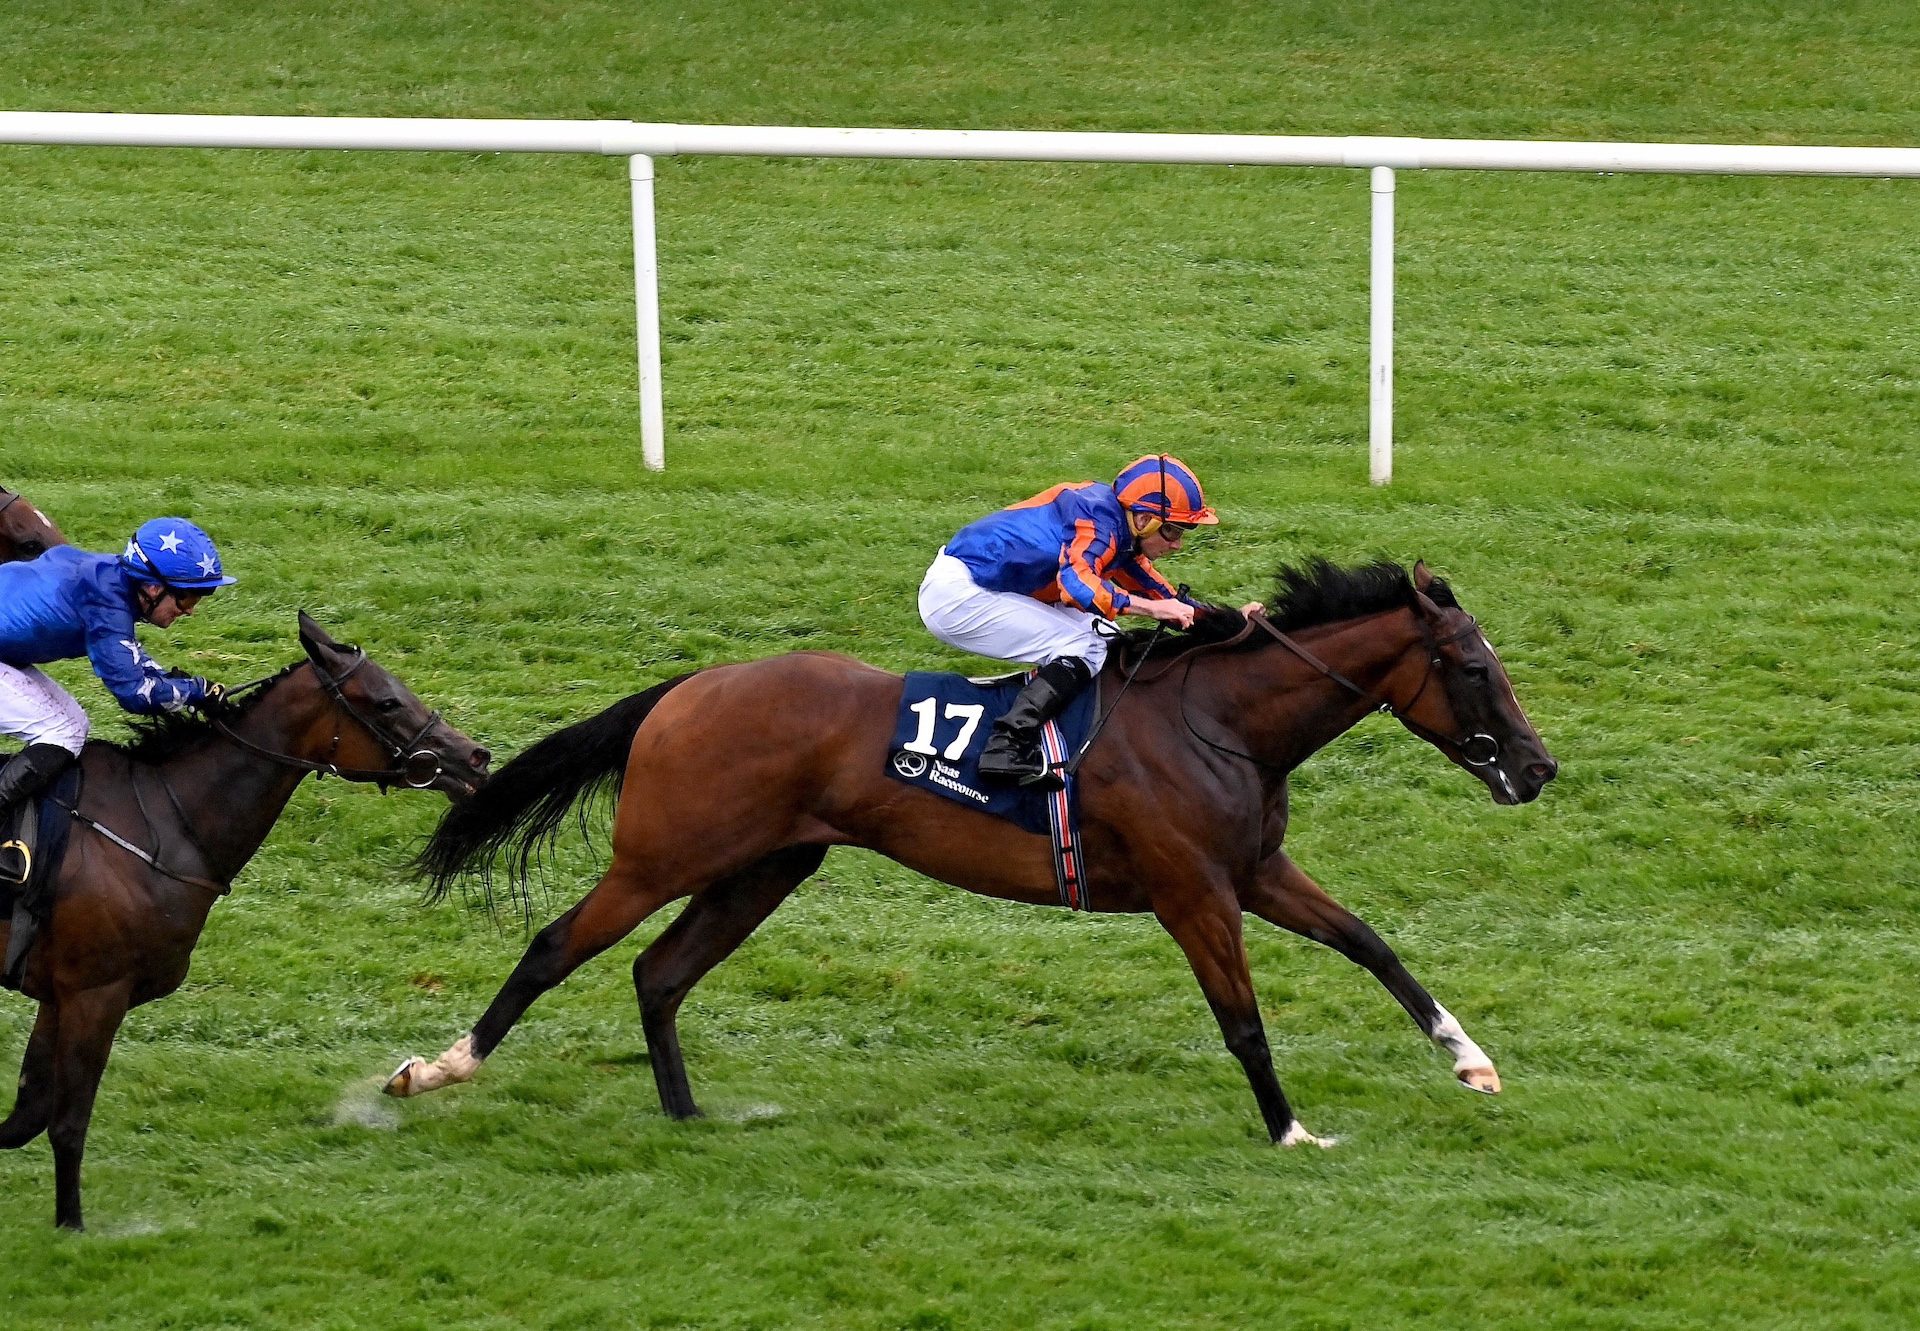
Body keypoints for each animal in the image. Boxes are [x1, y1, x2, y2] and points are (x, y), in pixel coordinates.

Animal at [0, 610, 491, 1221]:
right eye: (386, 701)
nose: (475, 757)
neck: (163, 818)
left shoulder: (59, 995)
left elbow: (25, 1116)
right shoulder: (96, 994)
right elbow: (66, 1124)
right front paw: (71, 1226)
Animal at [393, 556, 1559, 1144]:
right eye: (1471, 667)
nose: (1539, 766)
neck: (1219, 718)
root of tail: (685, 689)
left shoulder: (1255, 871)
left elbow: (1371, 944)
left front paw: (1472, 1059)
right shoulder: (1193, 890)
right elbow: (1243, 1021)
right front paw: (1289, 1132)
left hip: (766, 866)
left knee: (660, 972)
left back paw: (689, 1116)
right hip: (661, 856)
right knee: (557, 946)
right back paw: (433, 1068)